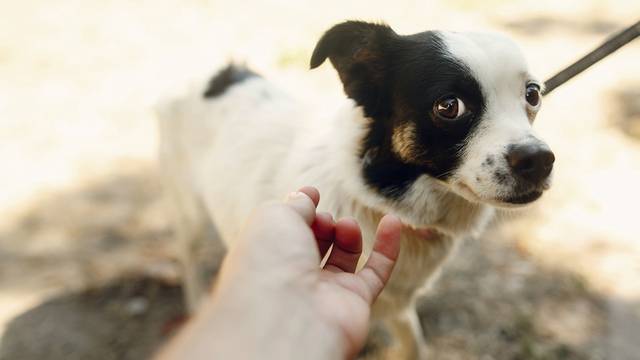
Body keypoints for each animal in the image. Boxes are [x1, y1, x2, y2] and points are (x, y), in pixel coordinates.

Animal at [158, 21, 552, 358]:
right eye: (449, 105)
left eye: (533, 94)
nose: (540, 160)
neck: (381, 200)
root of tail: (215, 73)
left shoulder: (396, 306)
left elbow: (413, 344)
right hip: (187, 210)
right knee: (188, 256)